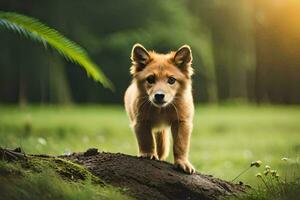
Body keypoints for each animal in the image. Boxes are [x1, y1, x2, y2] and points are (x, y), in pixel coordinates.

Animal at [124, 43, 195, 173]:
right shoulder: (141, 122)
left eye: (171, 80)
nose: (159, 96)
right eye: (150, 79)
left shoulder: (182, 122)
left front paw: (182, 162)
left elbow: (180, 144)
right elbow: (146, 140)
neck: (161, 110)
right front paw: (148, 154)